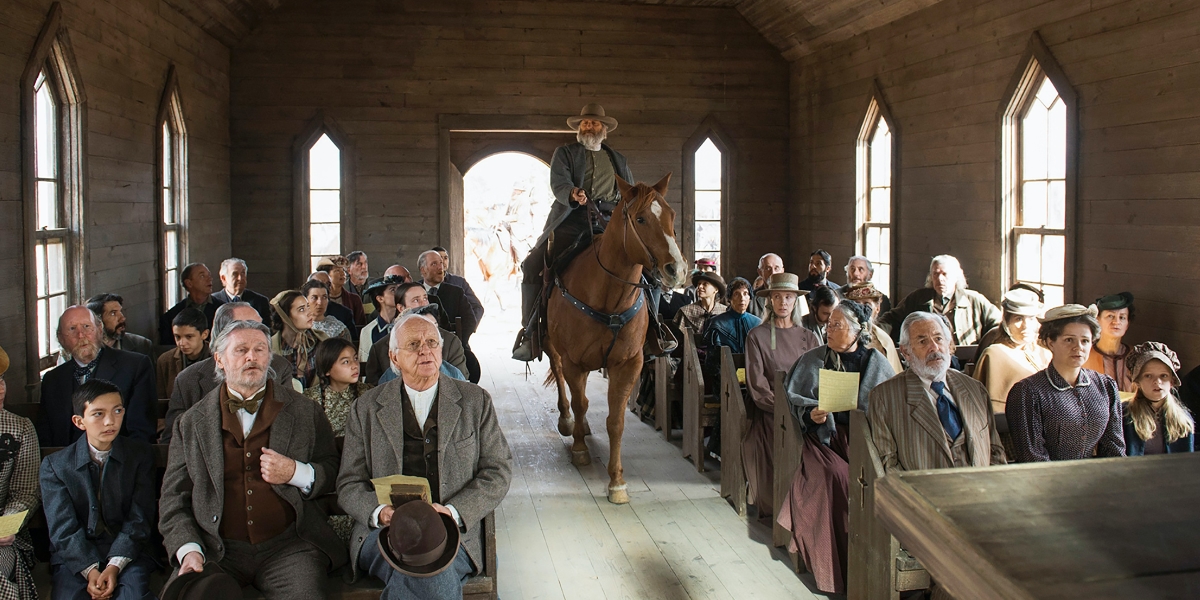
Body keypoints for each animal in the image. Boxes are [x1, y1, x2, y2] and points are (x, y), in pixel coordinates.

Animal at [544, 172, 686, 501]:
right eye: (640, 219)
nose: (677, 270)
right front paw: (580, 450)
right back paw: (568, 422)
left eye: (671, 215)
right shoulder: (574, 361)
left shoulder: (628, 364)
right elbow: (580, 401)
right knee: (561, 378)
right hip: (552, 345)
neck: (609, 297)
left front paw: (617, 481)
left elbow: (616, 421)